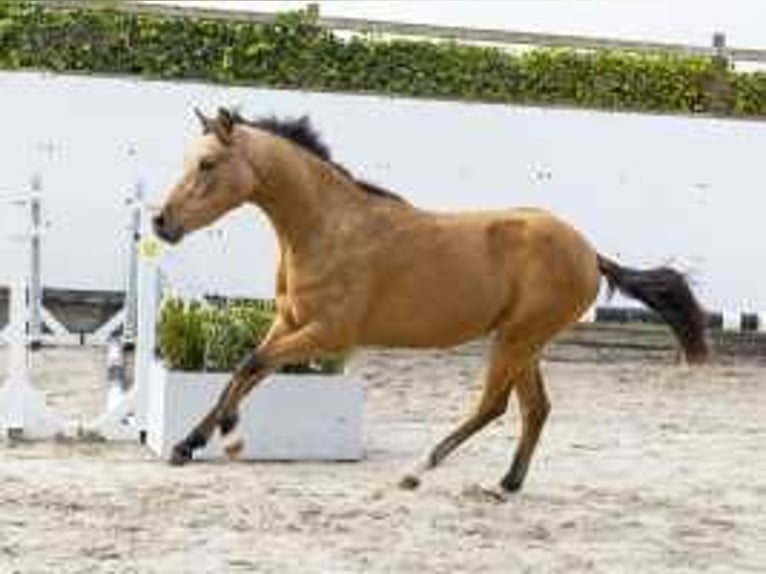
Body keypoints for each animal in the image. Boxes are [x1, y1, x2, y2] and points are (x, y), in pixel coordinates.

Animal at [153, 108, 712, 496]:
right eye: (186, 160)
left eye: (207, 163)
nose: (161, 222)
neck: (326, 228)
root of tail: (591, 253)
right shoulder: (289, 322)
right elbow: (247, 368)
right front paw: (189, 443)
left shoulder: (328, 334)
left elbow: (252, 363)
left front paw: (225, 433)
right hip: (523, 341)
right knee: (535, 409)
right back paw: (506, 484)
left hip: (517, 338)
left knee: (494, 405)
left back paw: (418, 469)